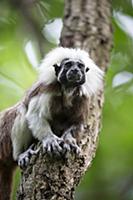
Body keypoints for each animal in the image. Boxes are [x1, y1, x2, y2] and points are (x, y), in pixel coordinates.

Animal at [0, 46, 103, 198]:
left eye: (80, 66)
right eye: (68, 65)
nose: (75, 71)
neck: (68, 91)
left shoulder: (83, 99)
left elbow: (76, 124)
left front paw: (69, 141)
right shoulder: (47, 90)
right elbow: (35, 115)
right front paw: (50, 140)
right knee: (22, 111)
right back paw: (21, 154)